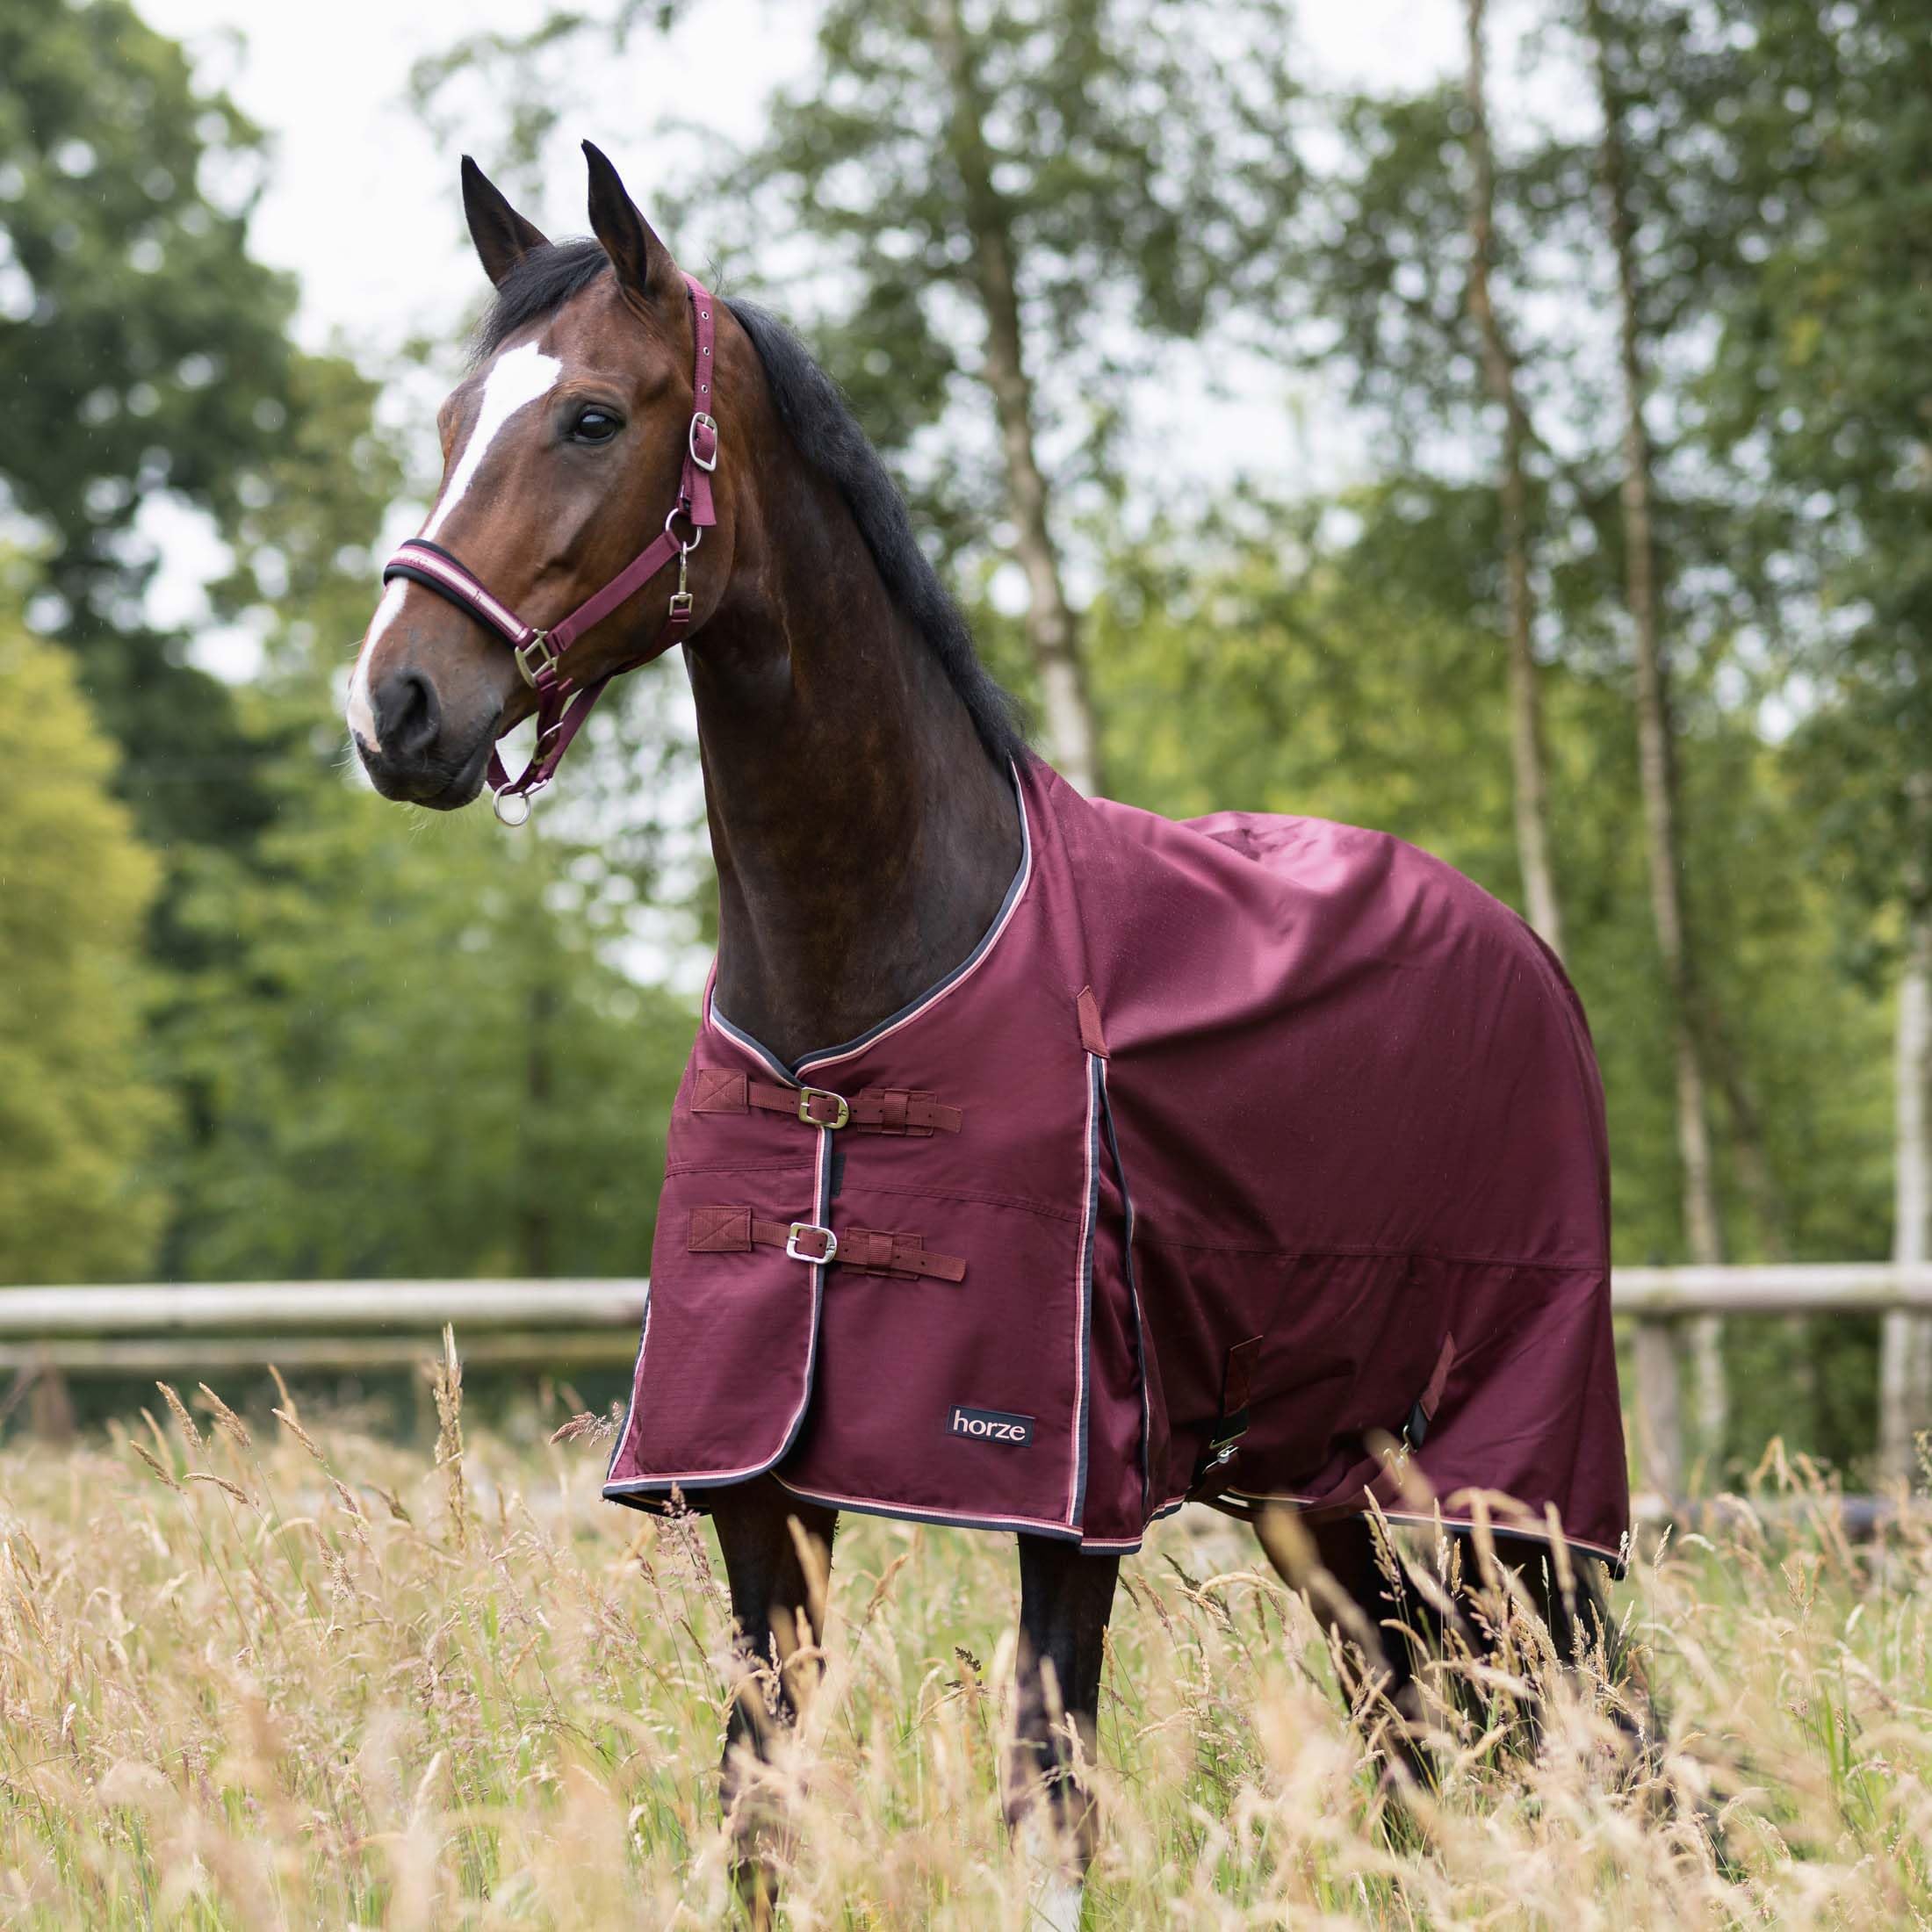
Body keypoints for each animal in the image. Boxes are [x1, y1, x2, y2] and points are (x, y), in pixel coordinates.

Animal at [350, 143, 1636, 1927]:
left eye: (593, 418)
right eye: (458, 412)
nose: (397, 708)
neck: (866, 977)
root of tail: (1520, 951)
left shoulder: (1064, 1505)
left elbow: (1047, 1805)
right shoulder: (757, 1496)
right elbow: (758, 1808)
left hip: (1520, 1476)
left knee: (1590, 1711)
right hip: (1318, 1484)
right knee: (1411, 1711)